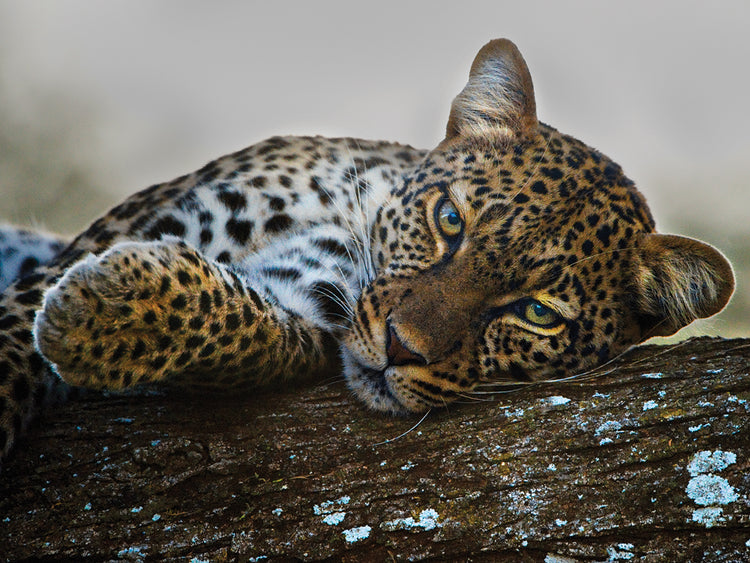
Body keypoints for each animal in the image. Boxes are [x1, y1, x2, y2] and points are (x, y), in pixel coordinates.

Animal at [0, 39, 734, 465]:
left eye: (538, 314)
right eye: (449, 219)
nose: (400, 348)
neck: (350, 222)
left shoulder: (304, 317)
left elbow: (252, 331)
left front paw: (98, 311)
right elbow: (15, 340)